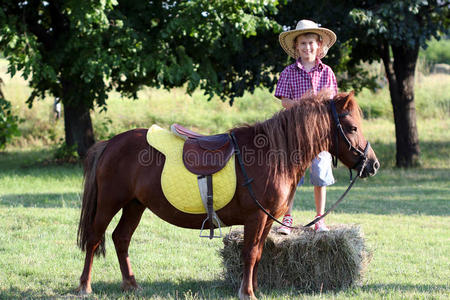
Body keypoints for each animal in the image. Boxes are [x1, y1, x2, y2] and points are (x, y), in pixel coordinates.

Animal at [76, 92, 376, 300]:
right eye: (352, 128)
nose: (372, 164)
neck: (271, 155)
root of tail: (110, 143)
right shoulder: (255, 218)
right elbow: (250, 252)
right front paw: (247, 292)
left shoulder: (267, 220)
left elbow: (258, 253)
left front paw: (254, 288)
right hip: (110, 203)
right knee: (94, 238)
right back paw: (84, 286)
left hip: (135, 205)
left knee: (121, 238)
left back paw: (131, 284)